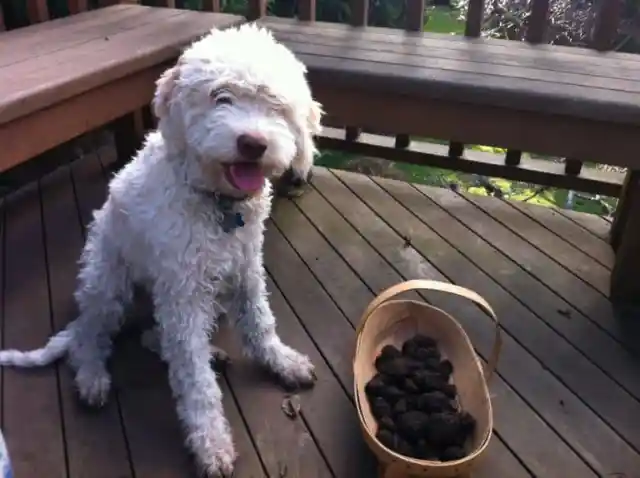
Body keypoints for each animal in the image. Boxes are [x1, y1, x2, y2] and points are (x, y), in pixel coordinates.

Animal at [0, 23, 322, 478]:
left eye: (275, 103)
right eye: (221, 96)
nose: (253, 143)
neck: (216, 203)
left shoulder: (245, 269)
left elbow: (260, 323)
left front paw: (282, 362)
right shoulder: (182, 294)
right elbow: (195, 380)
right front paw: (211, 444)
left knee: (154, 336)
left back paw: (210, 351)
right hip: (108, 287)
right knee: (91, 339)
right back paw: (92, 379)